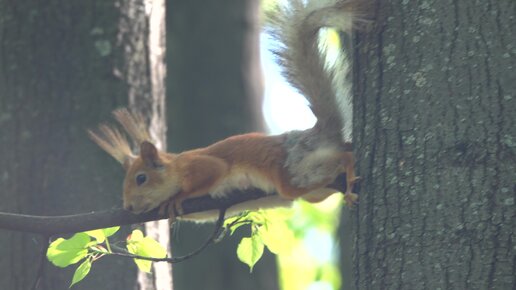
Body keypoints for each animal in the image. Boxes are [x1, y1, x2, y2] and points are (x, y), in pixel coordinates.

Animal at [88, 0, 360, 221]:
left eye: (141, 178)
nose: (129, 207)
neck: (175, 167)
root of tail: (320, 132)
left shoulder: (200, 166)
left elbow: (210, 173)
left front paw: (176, 198)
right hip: (311, 185)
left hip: (293, 170)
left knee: (331, 165)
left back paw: (349, 171)